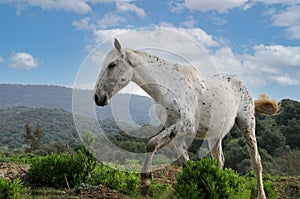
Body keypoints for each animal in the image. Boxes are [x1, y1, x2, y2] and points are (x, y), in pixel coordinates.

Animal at [94, 38, 278, 198]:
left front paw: (145, 184)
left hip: (247, 124)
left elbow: (151, 143)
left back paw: (261, 195)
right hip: (215, 135)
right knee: (219, 160)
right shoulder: (175, 132)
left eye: (111, 65)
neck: (167, 88)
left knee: (256, 161)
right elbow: (185, 164)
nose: (98, 98)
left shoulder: (186, 125)